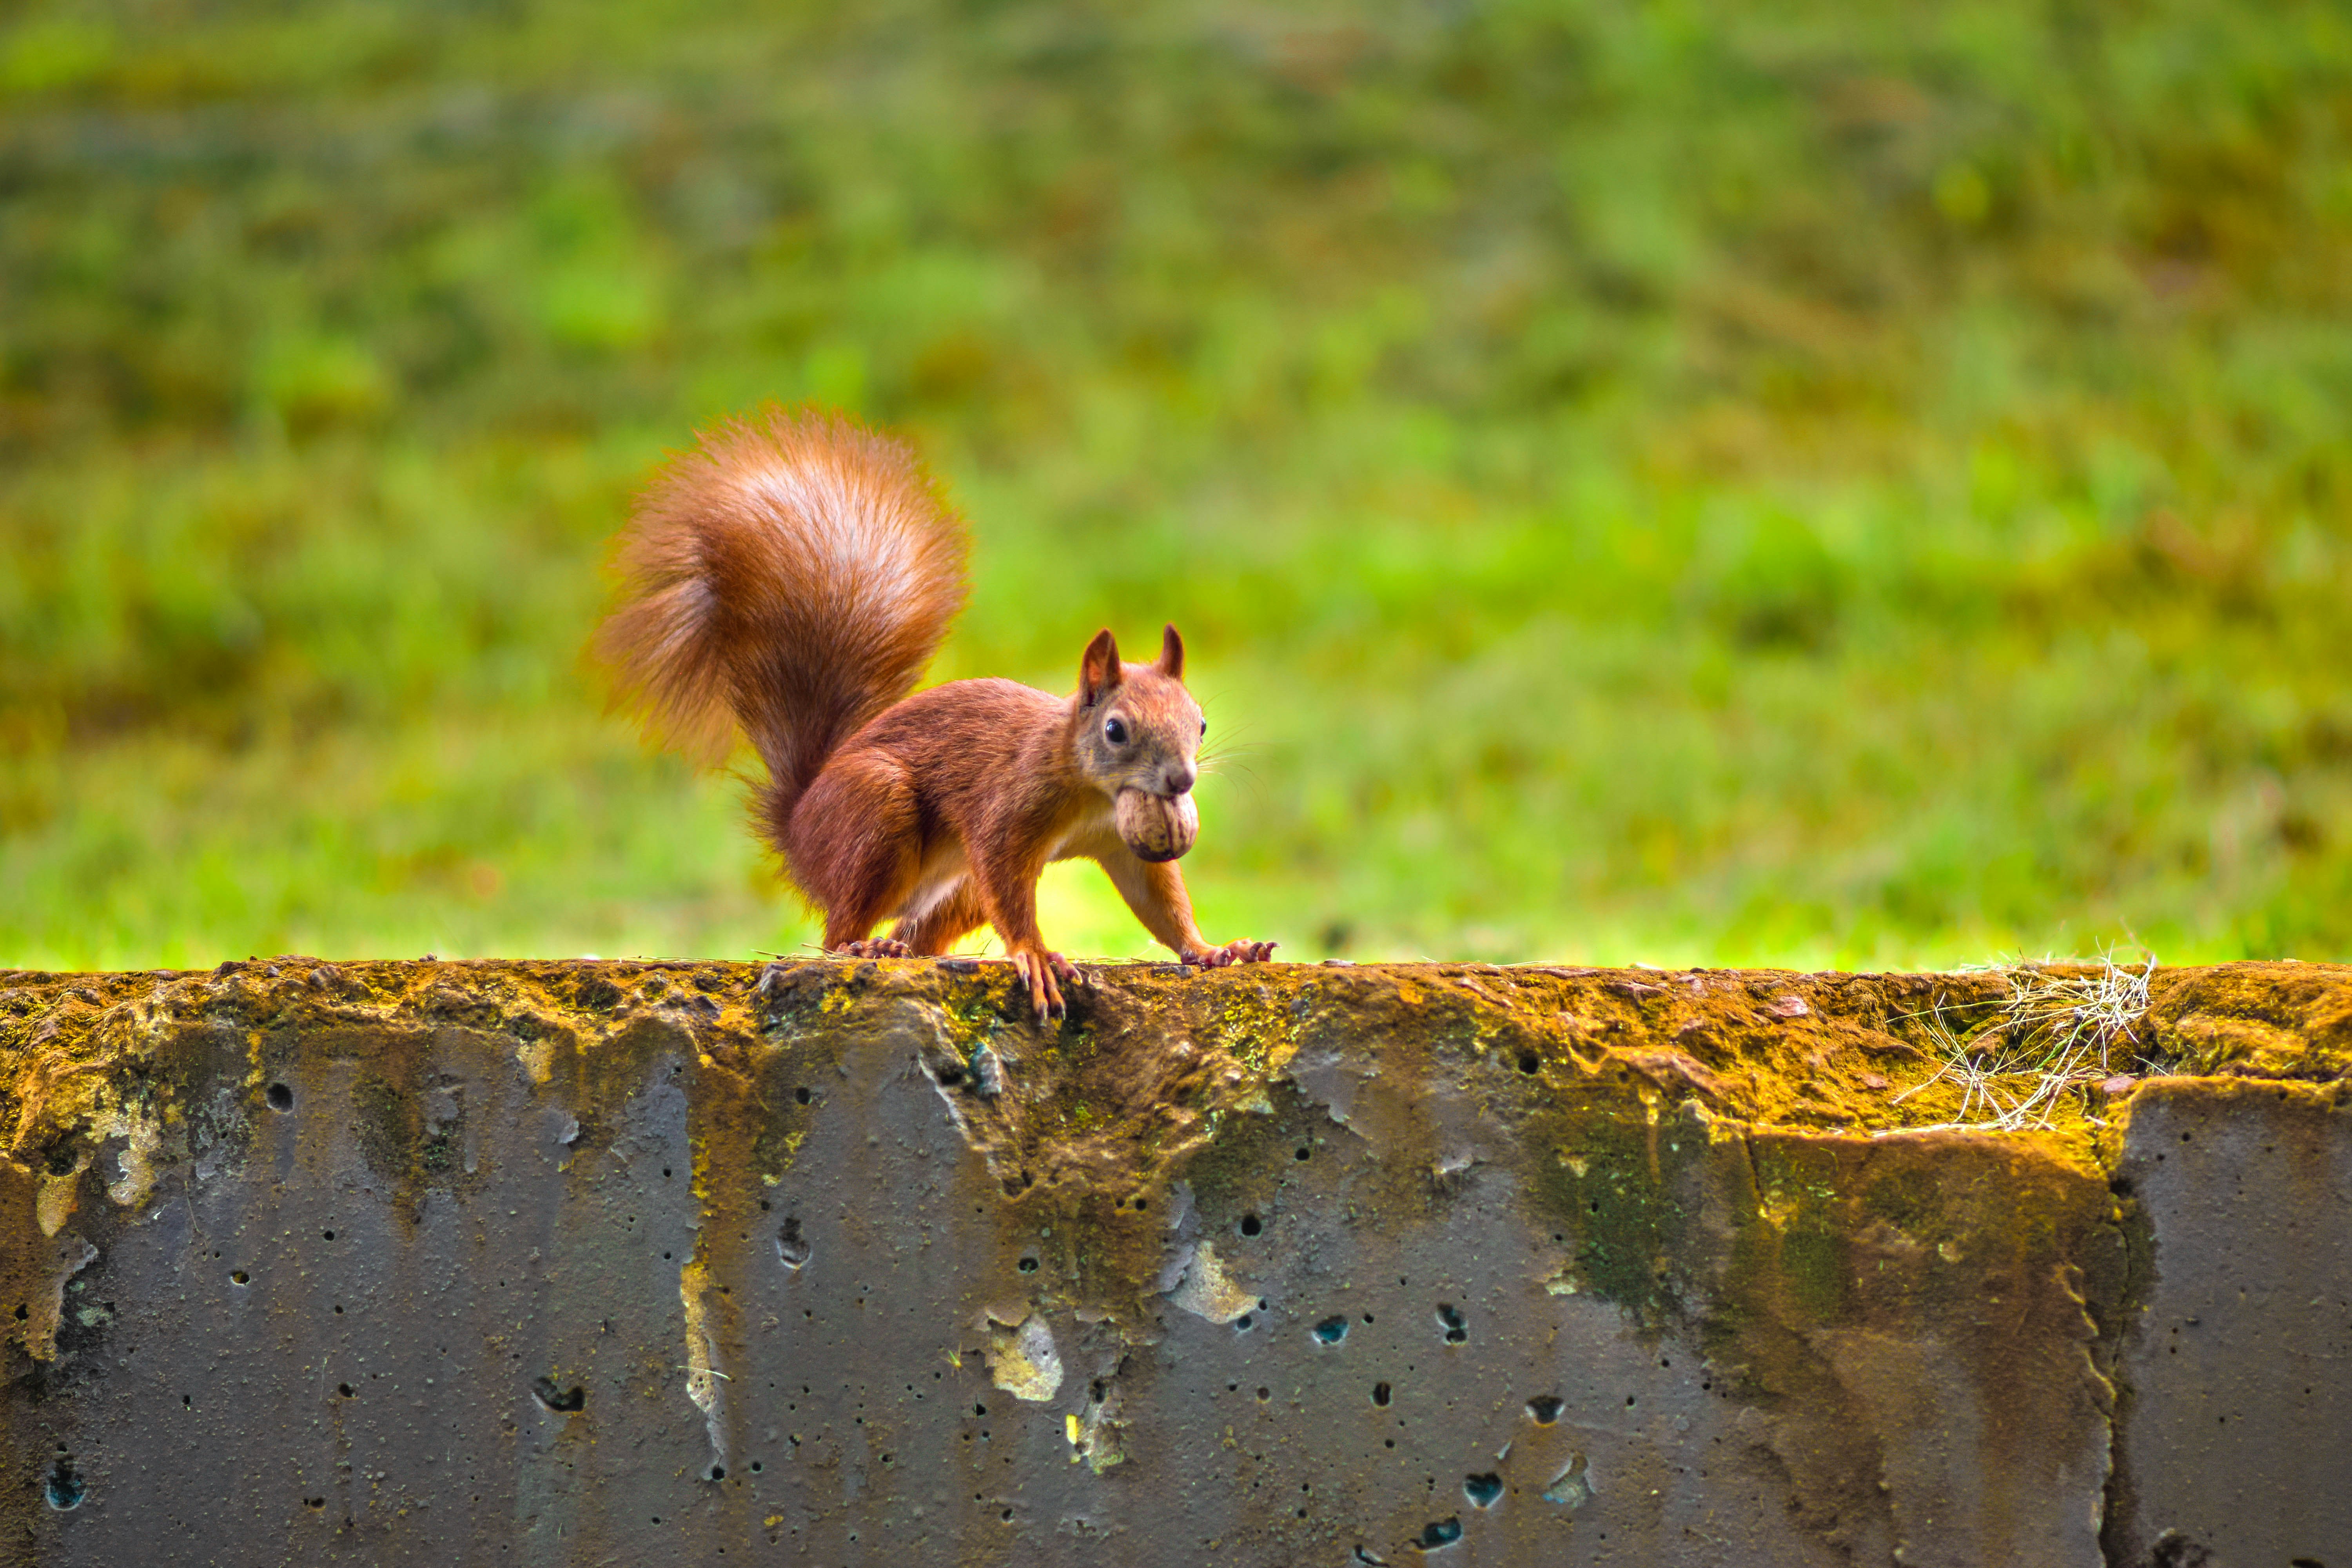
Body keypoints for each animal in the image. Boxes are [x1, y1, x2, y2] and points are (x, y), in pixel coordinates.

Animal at [597, 404, 1279, 1020]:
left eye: (1201, 723)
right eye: (1116, 730)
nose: (1181, 781)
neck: (1094, 794)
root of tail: (799, 826)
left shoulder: (1119, 844)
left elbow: (1158, 902)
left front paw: (1213, 951)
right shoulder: (1007, 811)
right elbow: (1011, 885)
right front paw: (1035, 955)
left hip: (955, 887)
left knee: (919, 933)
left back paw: (912, 950)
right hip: (876, 810)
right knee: (835, 932)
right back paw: (863, 948)